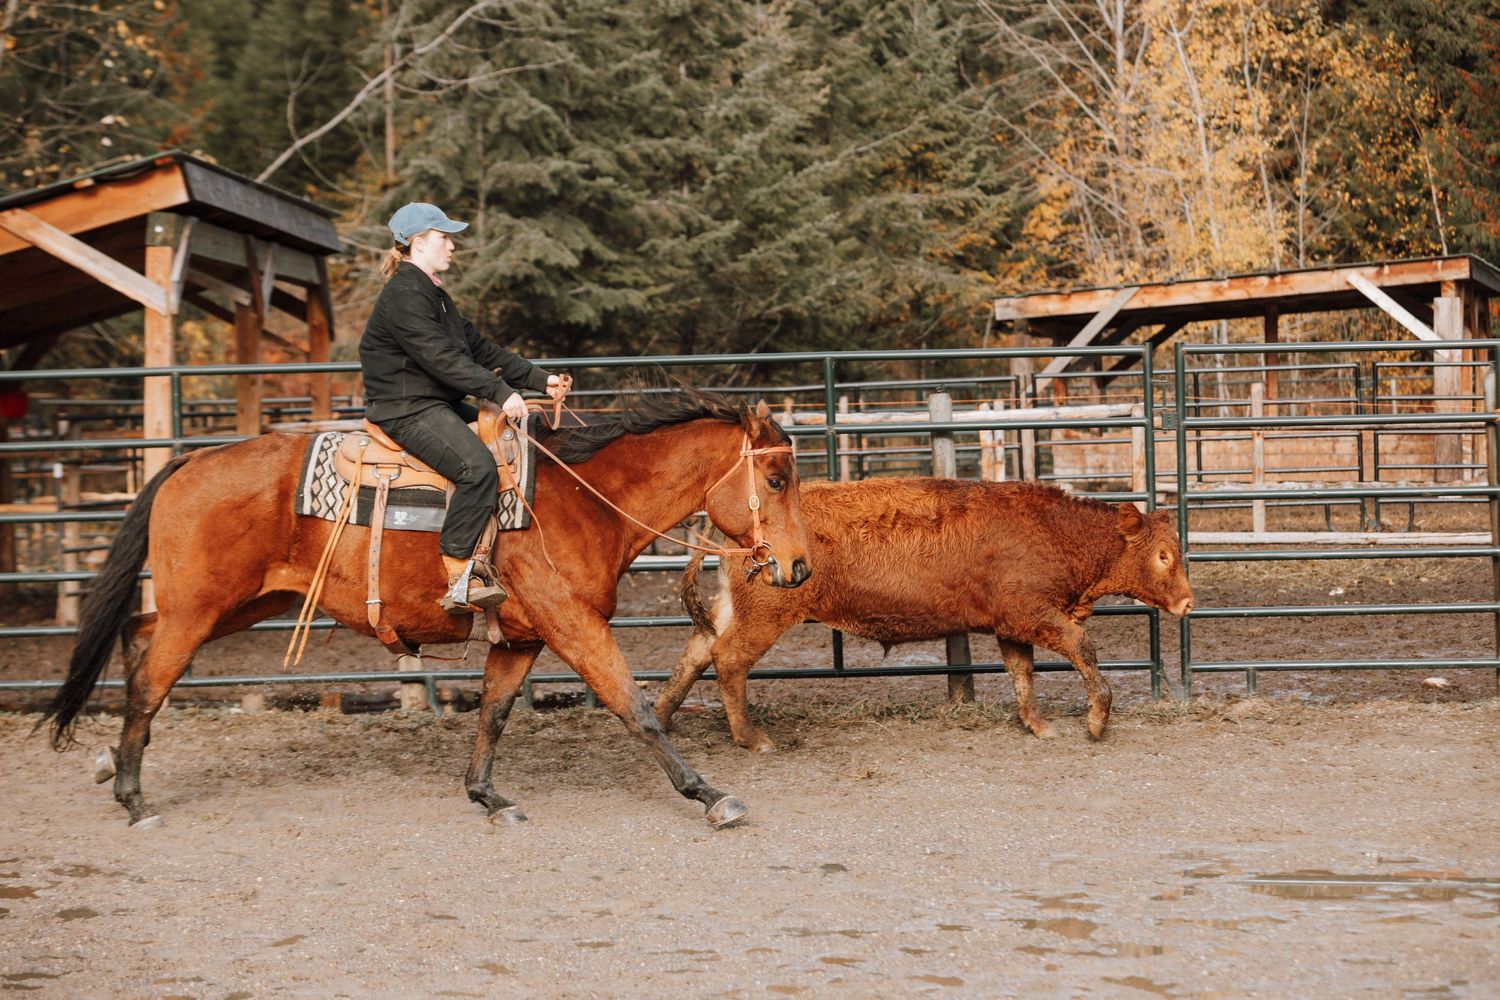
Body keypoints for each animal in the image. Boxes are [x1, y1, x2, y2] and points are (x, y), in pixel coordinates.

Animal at [41, 388, 812, 829]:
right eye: (776, 478)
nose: (799, 566)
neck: (581, 500)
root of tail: (189, 461)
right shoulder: (573, 625)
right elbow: (635, 706)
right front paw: (710, 795)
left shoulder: (521, 639)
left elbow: (495, 713)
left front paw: (487, 796)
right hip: (201, 609)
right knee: (151, 679)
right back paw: (134, 796)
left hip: (240, 603)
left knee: (137, 635)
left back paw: (115, 765)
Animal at [655, 477, 1194, 751]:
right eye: (1164, 555)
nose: (1188, 602)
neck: (1052, 530)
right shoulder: (1034, 613)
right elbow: (1083, 647)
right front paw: (1096, 721)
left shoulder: (1010, 626)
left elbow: (1022, 673)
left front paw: (1039, 726)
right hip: (763, 617)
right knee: (728, 660)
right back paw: (750, 737)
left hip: (733, 609)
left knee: (696, 652)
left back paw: (659, 718)